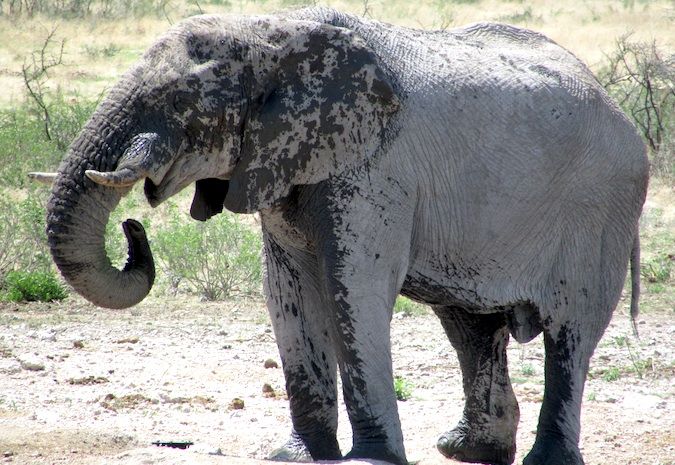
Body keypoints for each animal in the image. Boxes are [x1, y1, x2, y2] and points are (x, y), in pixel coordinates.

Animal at [41, 6, 648, 464]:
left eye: (180, 100)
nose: (132, 227)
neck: (269, 31)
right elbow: (286, 291)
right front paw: (297, 456)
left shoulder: (376, 170)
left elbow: (353, 289)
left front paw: (372, 460)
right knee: (472, 328)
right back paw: (469, 451)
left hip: (602, 211)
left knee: (569, 334)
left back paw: (544, 459)